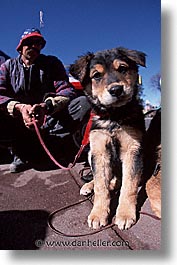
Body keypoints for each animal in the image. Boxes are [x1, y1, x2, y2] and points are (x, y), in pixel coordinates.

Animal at [70, 46, 146, 228]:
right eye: (96, 75)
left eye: (123, 68)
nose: (116, 90)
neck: (114, 116)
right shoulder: (99, 150)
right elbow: (100, 187)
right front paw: (98, 214)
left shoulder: (133, 150)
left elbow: (129, 185)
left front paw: (124, 214)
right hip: (90, 153)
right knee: (97, 177)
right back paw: (88, 185)